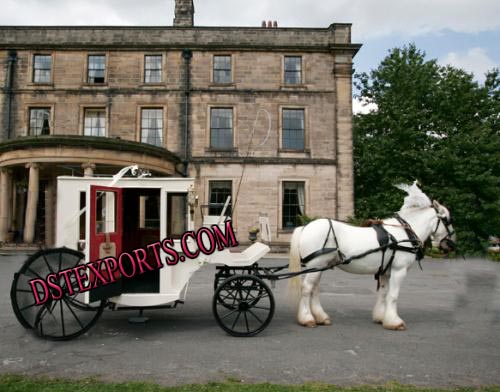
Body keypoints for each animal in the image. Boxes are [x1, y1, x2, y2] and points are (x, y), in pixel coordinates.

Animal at [288, 182, 456, 330]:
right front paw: (395, 322)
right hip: (316, 265)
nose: (452, 245)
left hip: (319, 266)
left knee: (314, 288)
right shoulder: (399, 271)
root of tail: (305, 227)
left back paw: (320, 317)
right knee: (307, 288)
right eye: (448, 220)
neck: (404, 234)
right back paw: (307, 318)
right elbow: (393, 296)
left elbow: (383, 293)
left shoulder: (386, 272)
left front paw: (381, 317)